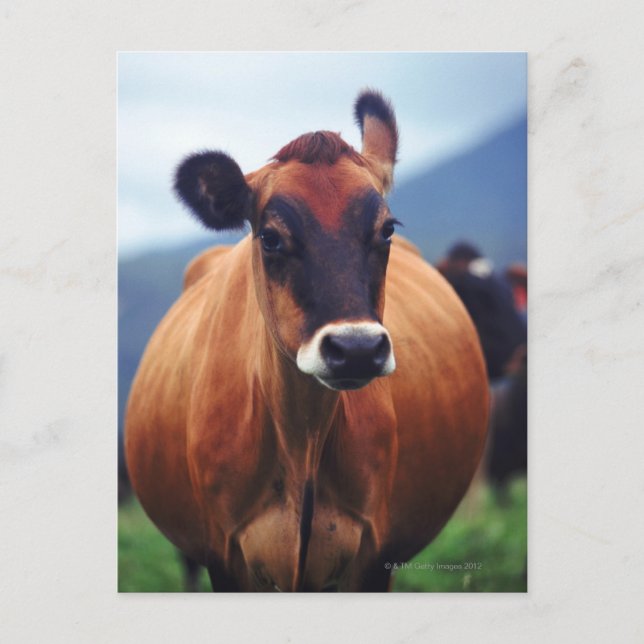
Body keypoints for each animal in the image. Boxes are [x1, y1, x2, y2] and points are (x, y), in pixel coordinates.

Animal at [125, 90, 488, 592]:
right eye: (270, 237)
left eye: (387, 230)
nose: (356, 350)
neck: (303, 441)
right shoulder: (225, 556)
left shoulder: (373, 556)